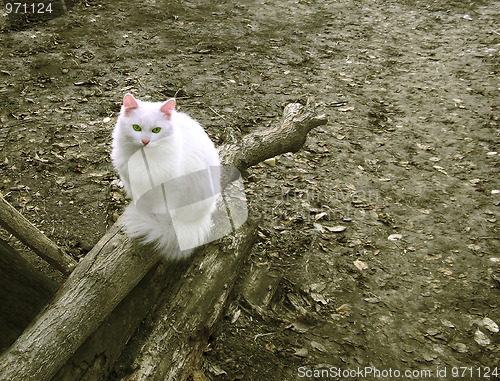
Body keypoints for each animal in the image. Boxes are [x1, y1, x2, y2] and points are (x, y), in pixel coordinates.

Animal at [111, 93, 221, 258]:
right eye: (136, 128)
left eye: (156, 130)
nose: (145, 141)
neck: (143, 159)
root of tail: (203, 218)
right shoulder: (132, 184)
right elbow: (142, 203)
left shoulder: (172, 188)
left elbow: (163, 212)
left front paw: (158, 223)